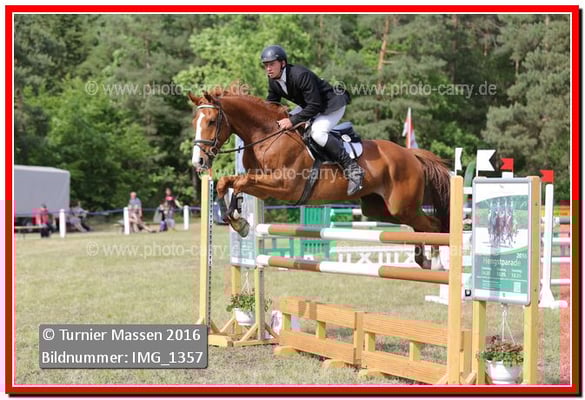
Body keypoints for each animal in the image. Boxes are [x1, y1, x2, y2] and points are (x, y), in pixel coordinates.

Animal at [188, 89, 451, 269]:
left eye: (211, 121)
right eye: (194, 122)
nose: (198, 162)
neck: (266, 135)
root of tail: (411, 154)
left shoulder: (284, 186)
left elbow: (238, 182)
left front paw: (238, 221)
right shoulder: (263, 187)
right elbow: (227, 182)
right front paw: (234, 219)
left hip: (402, 206)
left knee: (432, 226)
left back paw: (436, 261)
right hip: (381, 209)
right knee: (420, 226)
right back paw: (423, 259)